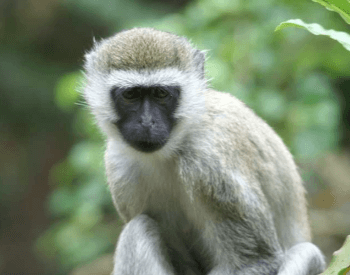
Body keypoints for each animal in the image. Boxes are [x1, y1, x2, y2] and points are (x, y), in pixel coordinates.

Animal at [82, 28, 326, 275]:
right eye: (131, 95)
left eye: (161, 93)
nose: (147, 122)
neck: (173, 149)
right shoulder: (119, 166)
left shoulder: (210, 164)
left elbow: (257, 260)